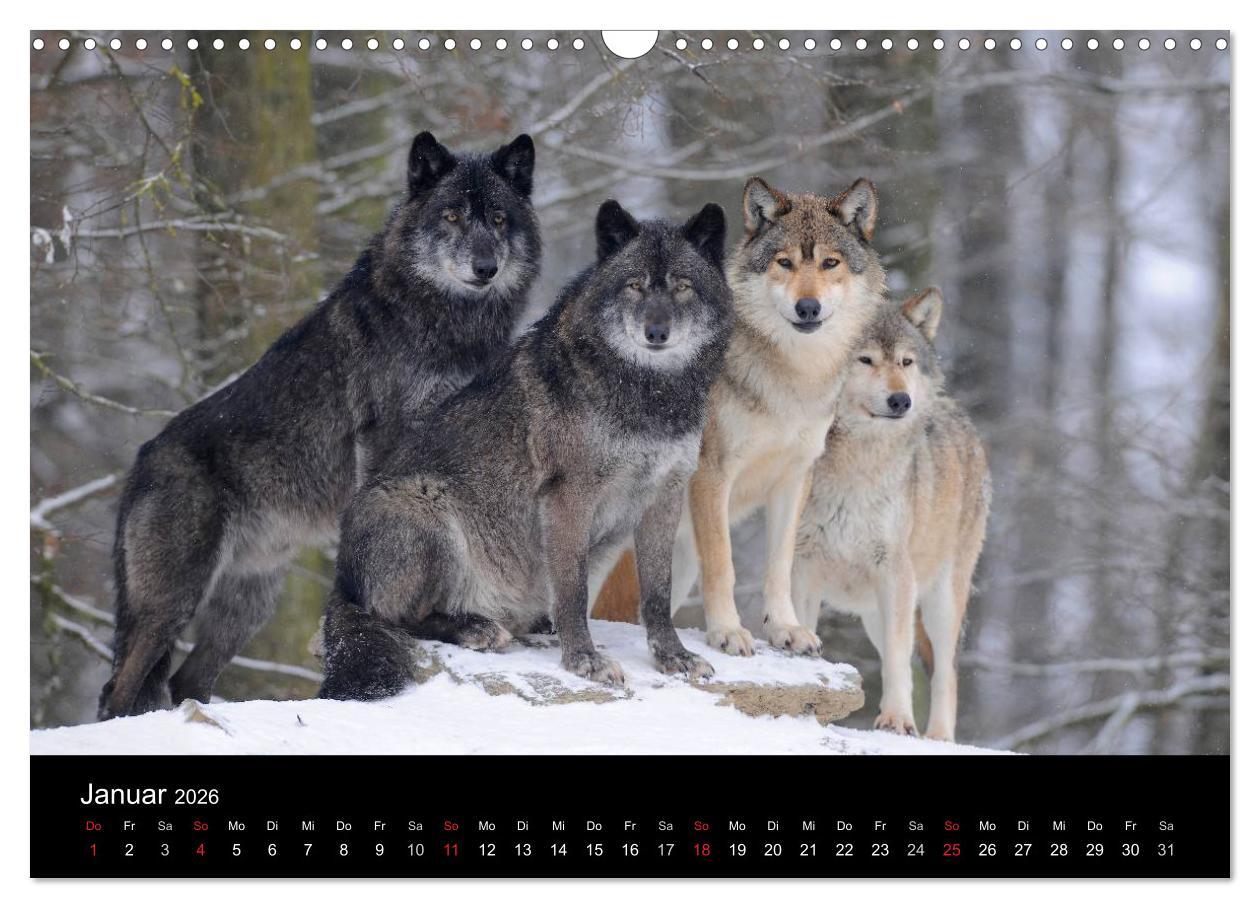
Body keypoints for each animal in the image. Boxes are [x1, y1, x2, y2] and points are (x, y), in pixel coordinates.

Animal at [98, 132, 540, 720]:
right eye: (450, 216)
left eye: (497, 218)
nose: (485, 266)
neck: (447, 322)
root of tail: (140, 460)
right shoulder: (385, 439)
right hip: (173, 601)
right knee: (121, 688)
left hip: (248, 605)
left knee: (186, 679)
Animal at [318, 199, 732, 700]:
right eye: (634, 285)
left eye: (683, 287)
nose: (657, 332)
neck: (649, 396)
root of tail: (342, 584)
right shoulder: (568, 496)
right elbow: (572, 591)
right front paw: (584, 660)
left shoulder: (664, 497)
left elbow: (657, 592)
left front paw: (673, 657)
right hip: (422, 503)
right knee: (396, 618)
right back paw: (476, 628)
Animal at [793, 289, 991, 741]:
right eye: (864, 360)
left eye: (906, 362)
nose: (902, 400)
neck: (856, 469)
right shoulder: (803, 566)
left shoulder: (895, 573)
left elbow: (901, 662)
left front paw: (898, 720)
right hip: (874, 614)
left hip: (938, 601)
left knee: (945, 673)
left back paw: (937, 737)